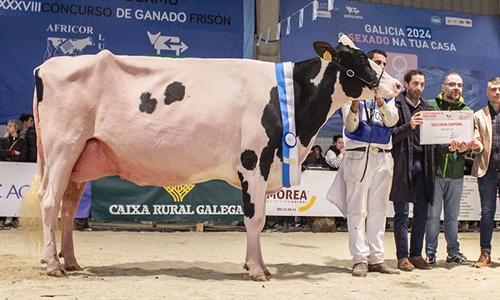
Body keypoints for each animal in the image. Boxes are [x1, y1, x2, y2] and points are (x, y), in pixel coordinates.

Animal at [20, 34, 402, 282]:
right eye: (358, 59)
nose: (397, 85)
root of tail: (46, 66)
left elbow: (257, 218)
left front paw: (255, 265)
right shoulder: (254, 162)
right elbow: (255, 219)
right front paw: (258, 270)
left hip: (81, 158)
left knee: (69, 207)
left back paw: (72, 262)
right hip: (63, 148)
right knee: (50, 202)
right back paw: (54, 266)